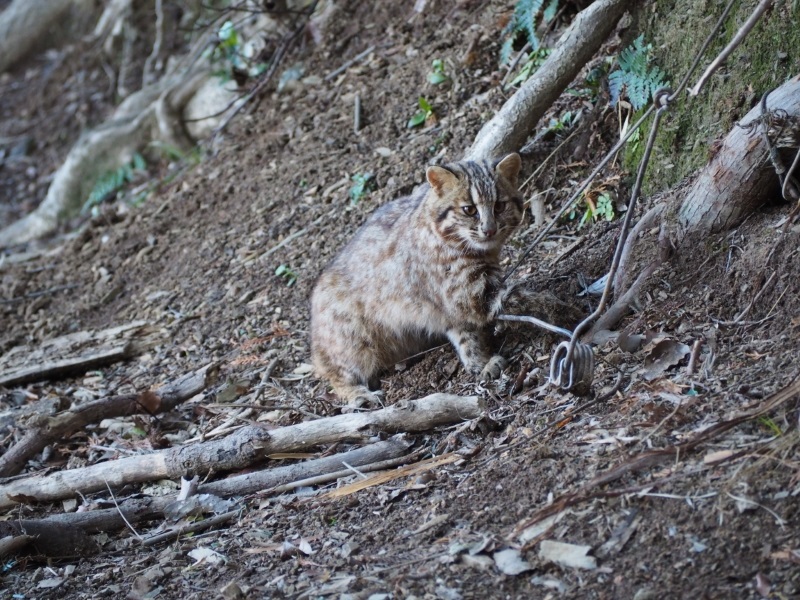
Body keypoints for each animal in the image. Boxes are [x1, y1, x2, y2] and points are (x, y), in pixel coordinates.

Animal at [310, 152, 524, 406]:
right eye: (469, 210)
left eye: (500, 206)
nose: (489, 230)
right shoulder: (467, 295)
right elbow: (517, 296)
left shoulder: (453, 306)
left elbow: (468, 337)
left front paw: (479, 363)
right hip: (353, 340)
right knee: (338, 373)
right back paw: (358, 394)